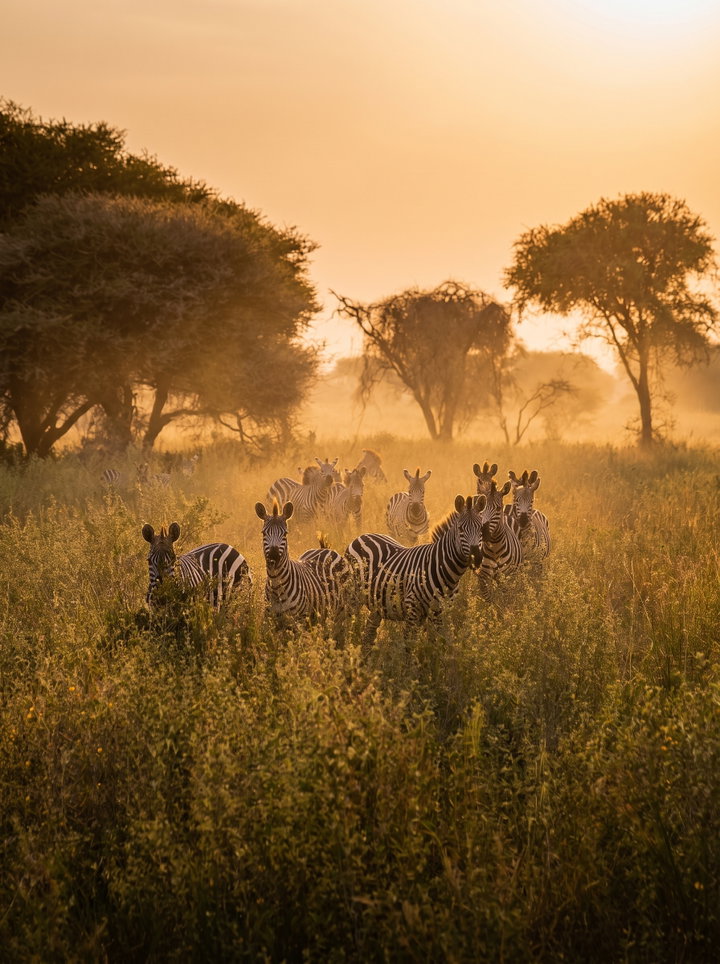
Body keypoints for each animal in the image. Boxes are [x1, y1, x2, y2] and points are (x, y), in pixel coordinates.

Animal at [345, 494, 486, 644]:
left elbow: (443, 641)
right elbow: (409, 644)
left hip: (376, 604)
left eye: (481, 528)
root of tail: (360, 536)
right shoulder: (412, 609)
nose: (476, 557)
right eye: (460, 529)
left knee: (369, 634)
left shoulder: (441, 611)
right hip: (352, 598)